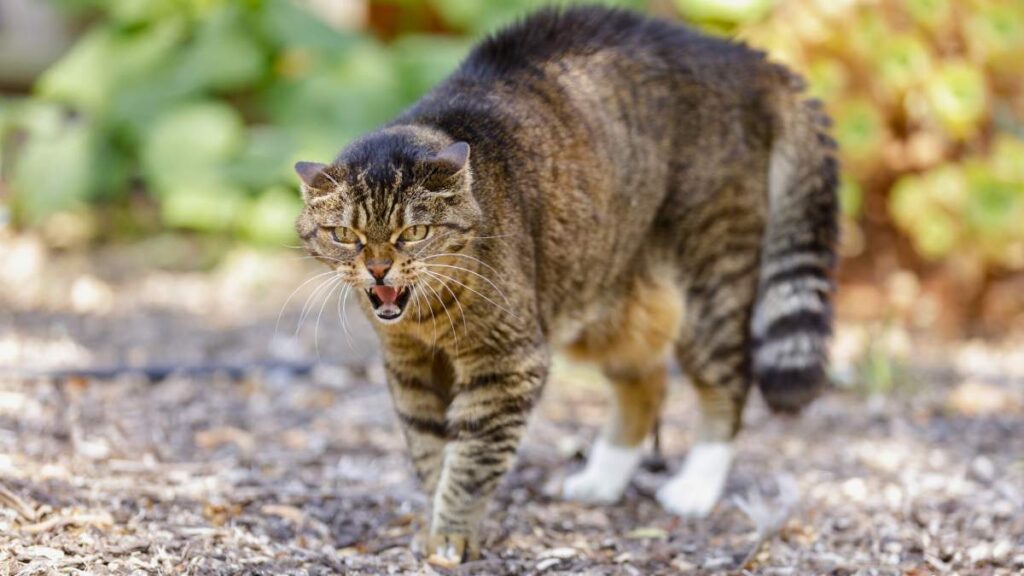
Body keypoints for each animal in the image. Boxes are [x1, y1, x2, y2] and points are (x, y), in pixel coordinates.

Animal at [294, 5, 837, 565]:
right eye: (345, 236)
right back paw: (602, 479)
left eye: (414, 233)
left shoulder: (506, 363)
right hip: (604, 294)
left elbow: (469, 462)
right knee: (647, 382)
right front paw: (433, 519)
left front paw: (451, 534)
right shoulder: (411, 368)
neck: (426, 318)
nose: (379, 269)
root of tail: (745, 58)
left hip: (712, 282)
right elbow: (429, 451)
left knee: (728, 380)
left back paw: (696, 487)